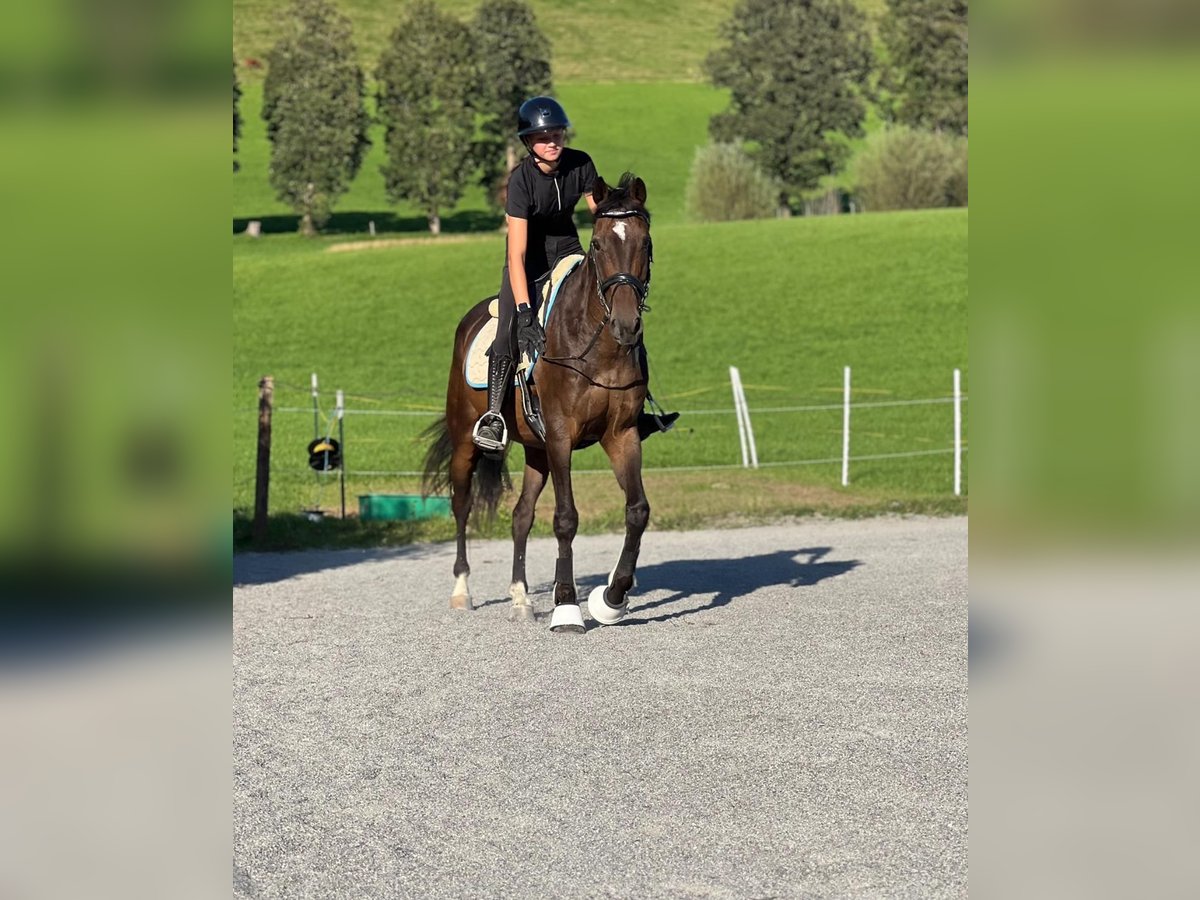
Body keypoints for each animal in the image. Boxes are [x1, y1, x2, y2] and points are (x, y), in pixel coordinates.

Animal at [422, 173, 655, 633]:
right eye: (598, 244)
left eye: (645, 242)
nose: (626, 325)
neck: (597, 346)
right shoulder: (562, 437)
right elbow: (565, 519)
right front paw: (567, 607)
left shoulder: (621, 435)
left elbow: (637, 510)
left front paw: (612, 598)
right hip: (466, 443)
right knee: (462, 506)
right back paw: (462, 591)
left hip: (536, 450)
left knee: (520, 516)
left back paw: (520, 598)